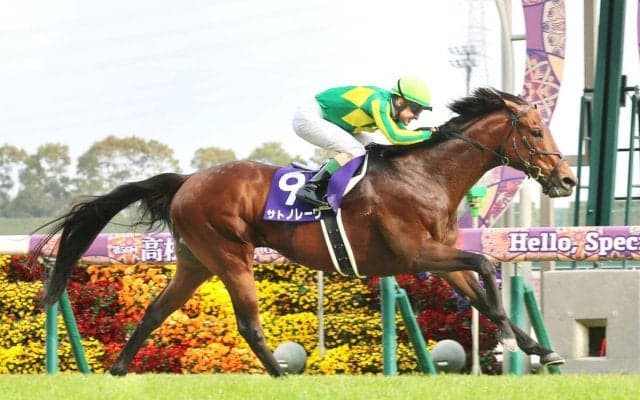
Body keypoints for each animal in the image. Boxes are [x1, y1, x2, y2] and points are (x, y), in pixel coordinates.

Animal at [33, 87, 577, 376]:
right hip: (230, 255)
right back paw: (280, 375)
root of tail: (187, 180)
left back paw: (119, 370)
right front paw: (507, 341)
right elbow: (486, 267)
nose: (567, 179)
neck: (425, 176)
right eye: (535, 131)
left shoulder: (438, 257)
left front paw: (540, 349)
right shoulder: (417, 254)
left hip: (195, 261)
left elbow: (483, 291)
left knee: (154, 312)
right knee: (249, 324)